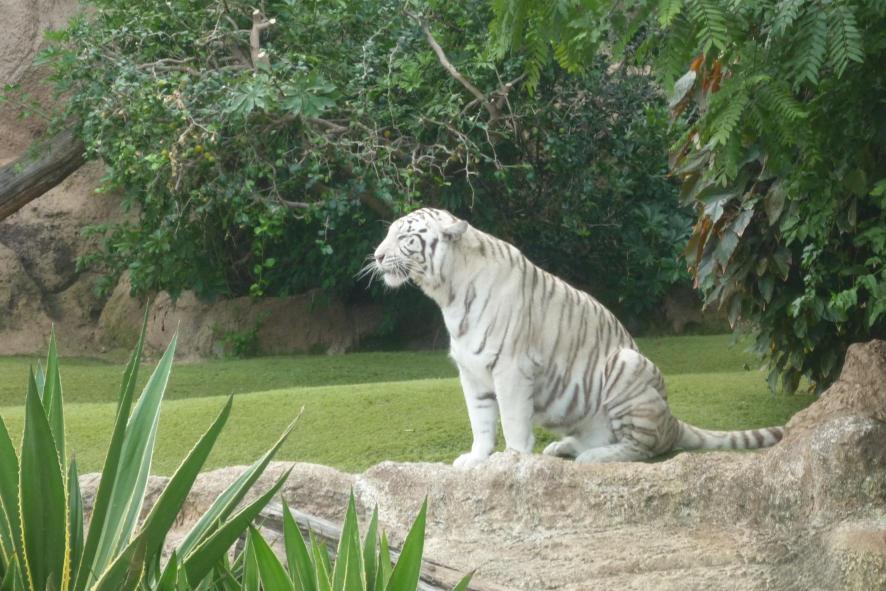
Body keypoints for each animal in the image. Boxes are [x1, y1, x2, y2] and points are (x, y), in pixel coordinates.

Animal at [368, 208, 784, 469]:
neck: (447, 293)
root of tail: (671, 419)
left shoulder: (511, 369)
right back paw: (562, 447)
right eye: (387, 233)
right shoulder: (471, 373)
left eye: (405, 238)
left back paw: (593, 457)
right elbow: (481, 422)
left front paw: (512, 461)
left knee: (643, 447)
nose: (376, 255)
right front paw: (476, 459)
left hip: (626, 366)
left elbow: (512, 421)